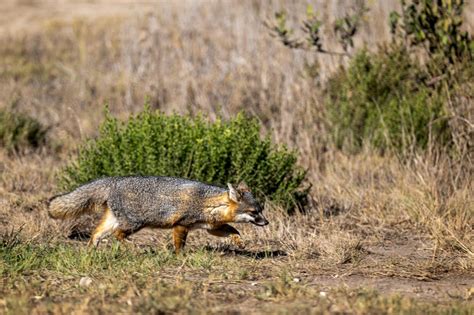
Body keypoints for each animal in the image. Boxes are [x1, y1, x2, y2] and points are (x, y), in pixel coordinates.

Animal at [51, 177, 270, 253]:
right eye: (254, 212)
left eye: (261, 210)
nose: (266, 222)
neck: (209, 203)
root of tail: (115, 180)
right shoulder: (181, 225)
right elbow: (179, 244)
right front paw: (180, 256)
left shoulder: (211, 228)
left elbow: (234, 230)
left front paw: (240, 242)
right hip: (135, 224)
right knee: (117, 235)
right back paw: (133, 247)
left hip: (115, 222)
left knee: (96, 234)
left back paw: (91, 253)